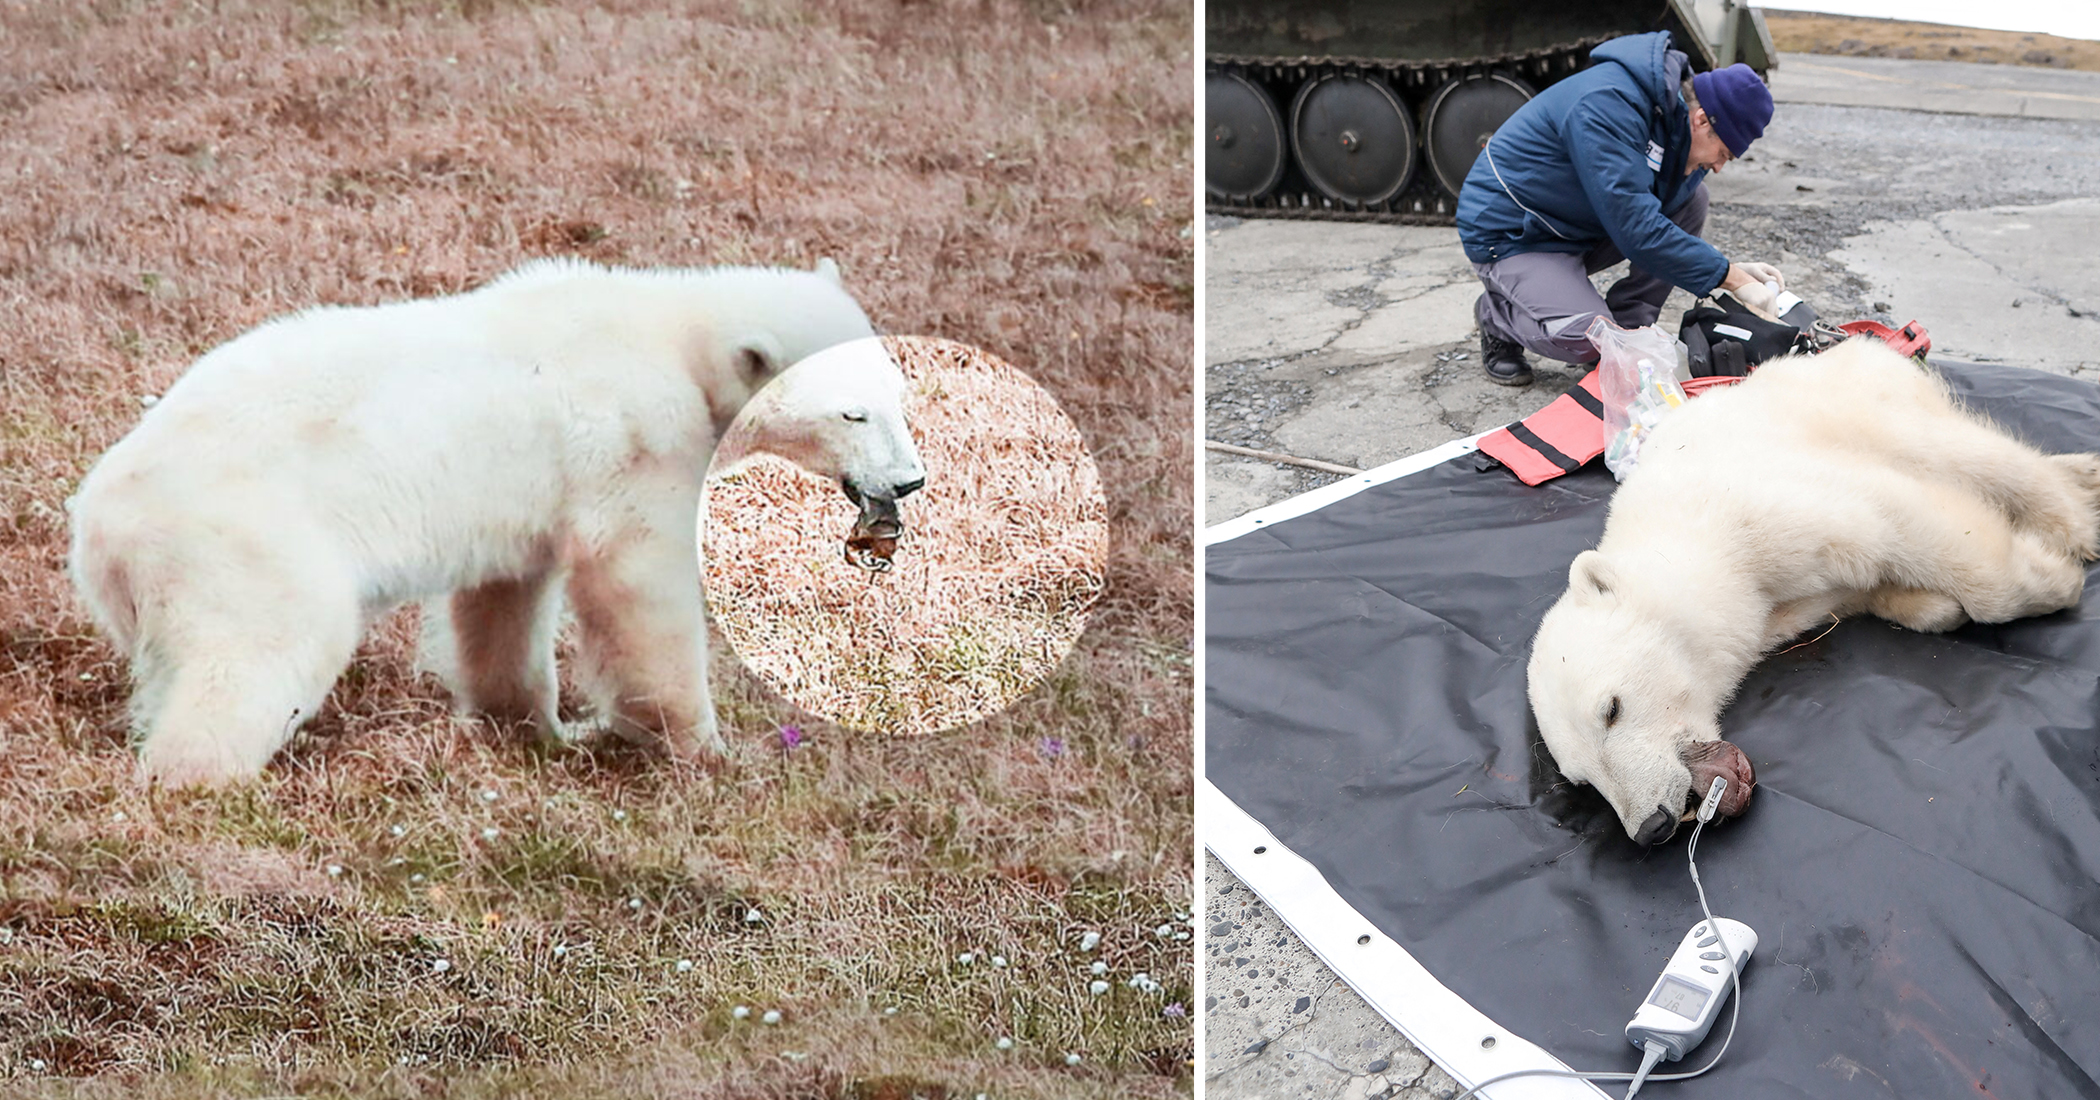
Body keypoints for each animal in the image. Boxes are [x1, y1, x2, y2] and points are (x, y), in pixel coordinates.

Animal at [67, 258, 925, 787]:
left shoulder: (528, 493)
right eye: (851, 412)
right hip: (245, 537)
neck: (672, 335)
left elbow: (504, 599)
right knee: (263, 649)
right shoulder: (636, 446)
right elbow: (640, 590)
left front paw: (532, 727)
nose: (909, 481)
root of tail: (99, 528)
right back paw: (200, 779)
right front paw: (702, 749)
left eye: (896, 389)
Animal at [1528, 336, 2100, 845]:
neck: (1696, 547)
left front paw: (2056, 580)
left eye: (1611, 709)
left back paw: (2074, 524)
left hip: (1861, 405)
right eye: (1580, 780)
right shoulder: (1781, 603)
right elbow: (1871, 586)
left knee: (1964, 453)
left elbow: (1894, 519)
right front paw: (1932, 604)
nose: (1650, 827)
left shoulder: (1761, 509)